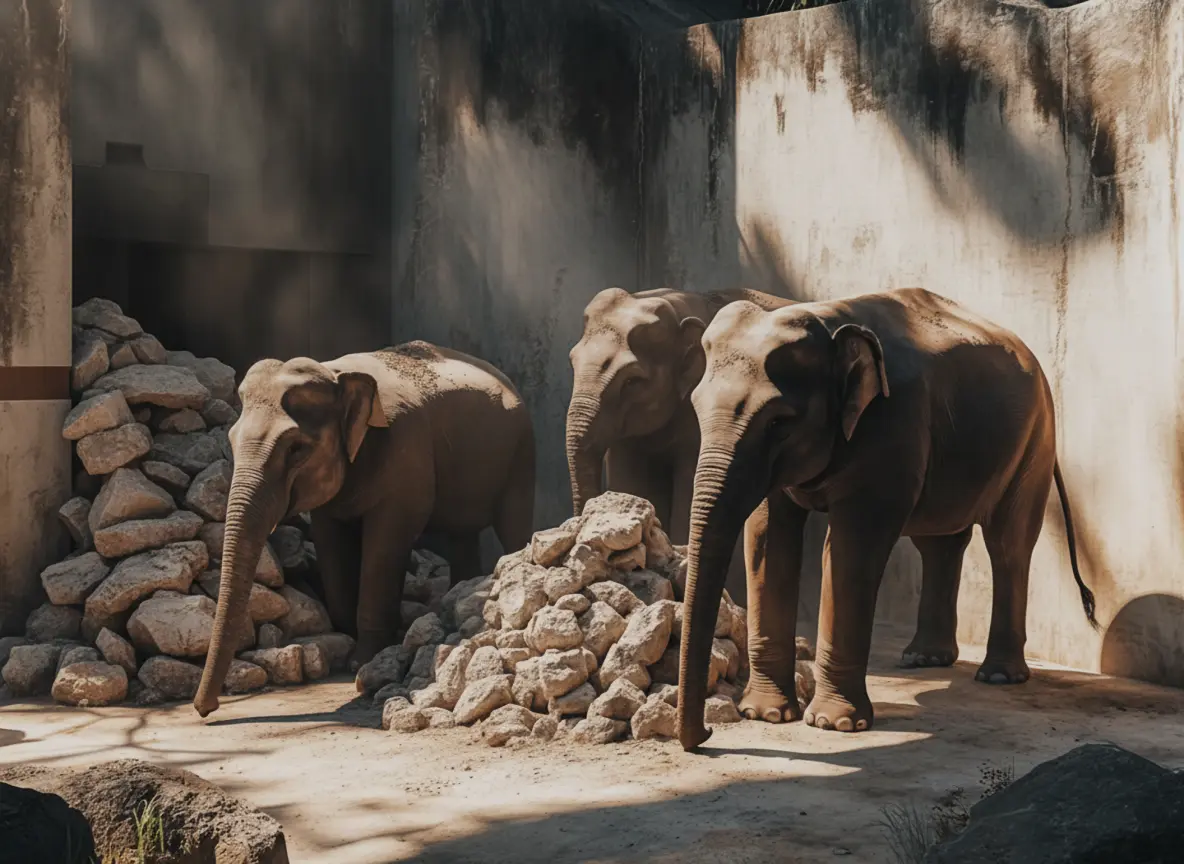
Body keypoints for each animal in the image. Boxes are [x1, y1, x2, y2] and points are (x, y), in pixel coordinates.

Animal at [193, 341, 535, 717]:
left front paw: (363, 662)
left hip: (520, 454)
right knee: (462, 534)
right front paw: (348, 647)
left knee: (513, 523)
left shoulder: (405, 452)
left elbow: (388, 538)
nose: (205, 710)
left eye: (296, 449)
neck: (335, 373)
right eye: (231, 440)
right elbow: (330, 539)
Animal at [676, 288, 1096, 750]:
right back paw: (923, 658)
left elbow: (851, 547)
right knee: (940, 542)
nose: (707, 733)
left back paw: (999, 676)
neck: (827, 321)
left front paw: (834, 725)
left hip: (1035, 440)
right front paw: (766, 714)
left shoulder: (891, 427)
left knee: (1008, 544)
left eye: (779, 422)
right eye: (695, 407)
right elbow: (767, 538)